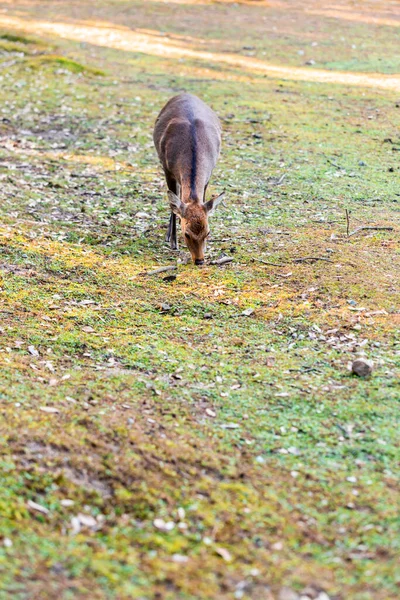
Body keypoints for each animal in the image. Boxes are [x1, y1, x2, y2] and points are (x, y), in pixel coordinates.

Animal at [154, 92, 225, 264]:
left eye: (208, 232)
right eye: (186, 234)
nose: (199, 260)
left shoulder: (208, 174)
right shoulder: (167, 169)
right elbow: (173, 205)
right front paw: (174, 242)